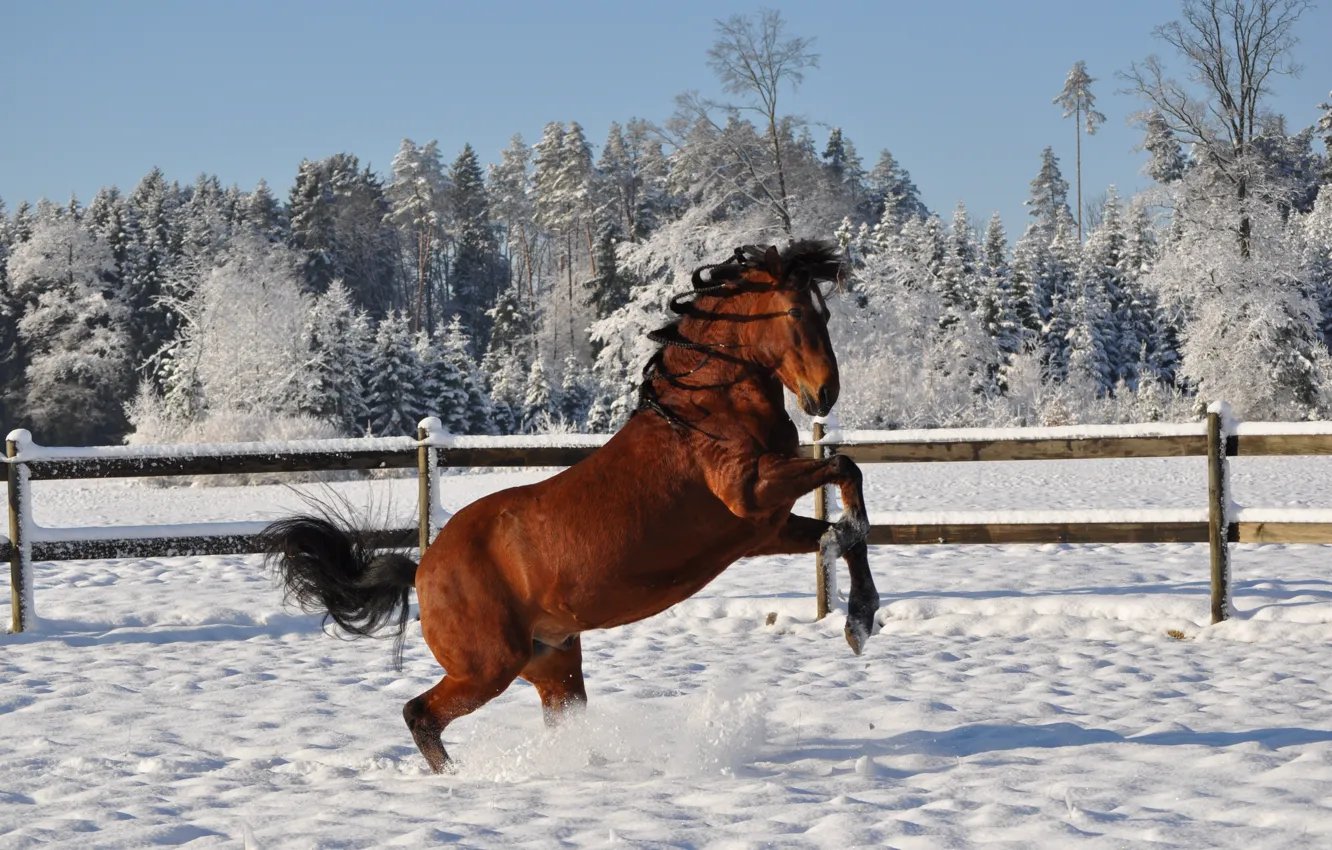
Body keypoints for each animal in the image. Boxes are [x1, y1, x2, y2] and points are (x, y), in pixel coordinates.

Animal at [263, 238, 879, 772]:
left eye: (825, 313)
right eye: (797, 313)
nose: (825, 394)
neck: (705, 414)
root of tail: (423, 569)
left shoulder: (764, 530)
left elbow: (842, 535)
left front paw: (860, 619)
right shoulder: (750, 492)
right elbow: (846, 471)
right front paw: (860, 611)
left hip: (552, 662)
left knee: (554, 718)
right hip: (488, 667)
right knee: (420, 714)